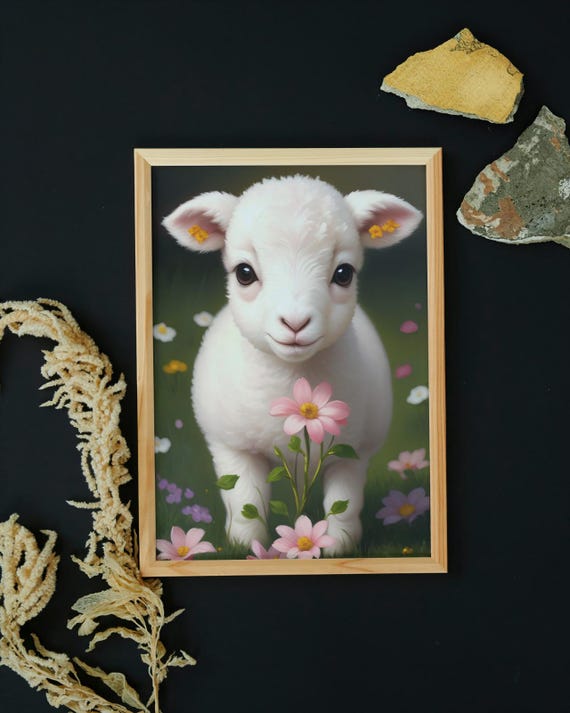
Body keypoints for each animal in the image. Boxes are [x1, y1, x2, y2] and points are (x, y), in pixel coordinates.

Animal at [162, 175, 423, 555]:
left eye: (344, 273)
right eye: (244, 273)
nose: (296, 322)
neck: (295, 390)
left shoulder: (352, 452)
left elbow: (343, 507)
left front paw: (338, 548)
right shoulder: (233, 448)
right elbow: (245, 504)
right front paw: (245, 548)